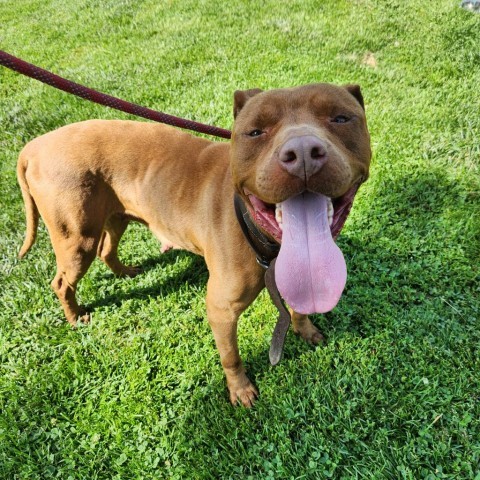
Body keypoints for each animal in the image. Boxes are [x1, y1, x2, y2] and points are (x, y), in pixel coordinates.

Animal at [16, 83, 372, 404]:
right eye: (255, 132)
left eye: (341, 118)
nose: (302, 154)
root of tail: (33, 147)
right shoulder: (220, 309)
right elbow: (231, 356)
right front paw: (240, 390)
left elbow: (299, 308)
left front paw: (306, 330)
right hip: (78, 237)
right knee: (62, 282)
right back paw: (76, 317)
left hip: (115, 216)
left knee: (107, 250)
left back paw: (126, 272)